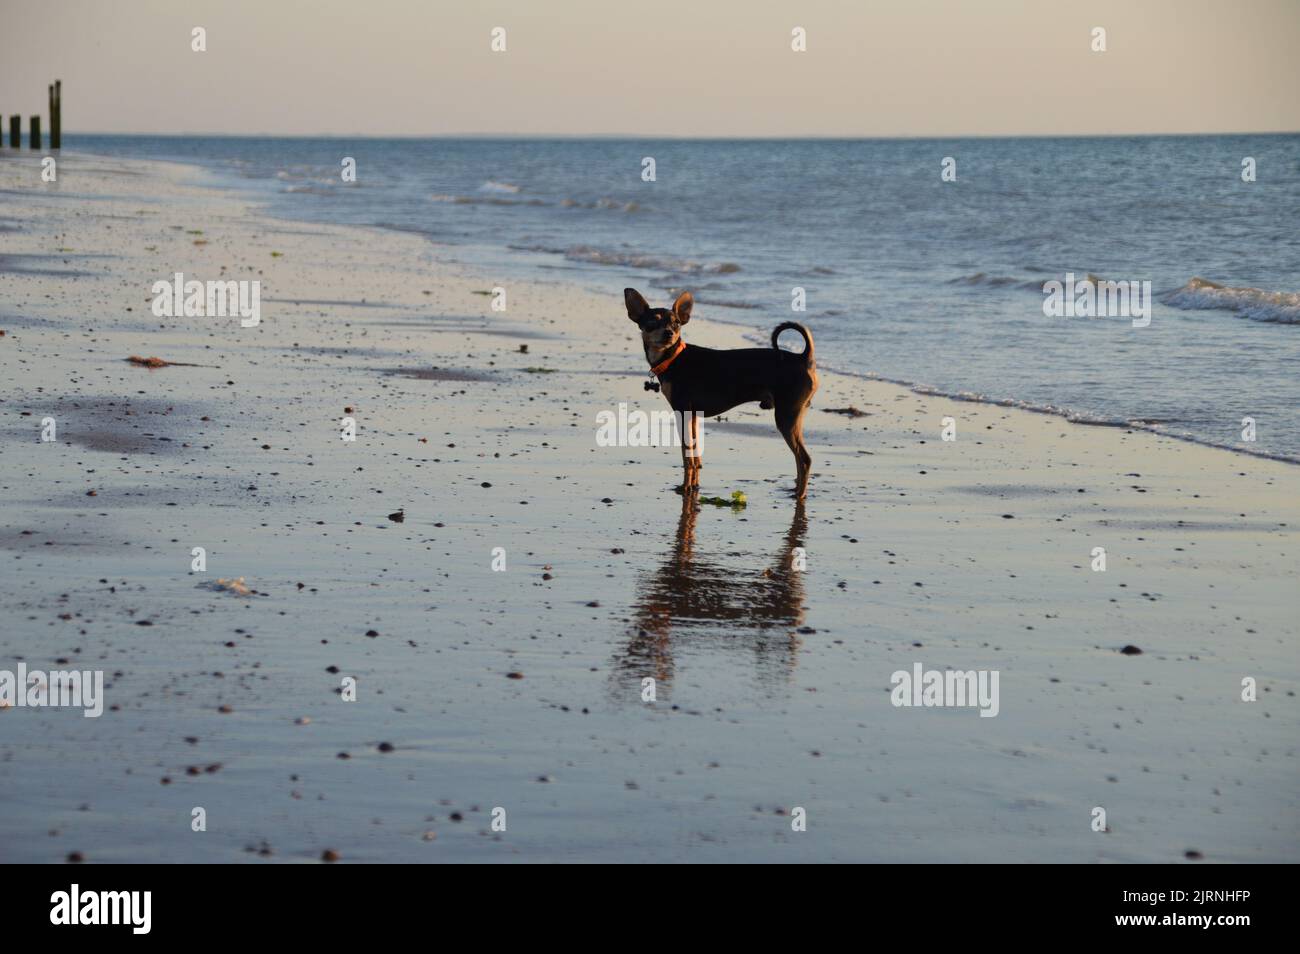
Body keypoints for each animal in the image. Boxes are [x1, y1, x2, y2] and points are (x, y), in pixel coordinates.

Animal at [624, 287, 816, 501]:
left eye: (676, 323)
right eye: (652, 323)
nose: (669, 333)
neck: (673, 357)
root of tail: (803, 357)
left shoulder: (683, 412)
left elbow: (686, 456)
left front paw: (686, 487)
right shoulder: (692, 416)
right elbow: (695, 455)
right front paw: (694, 484)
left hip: (786, 416)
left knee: (804, 459)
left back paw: (800, 494)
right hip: (794, 416)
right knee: (799, 459)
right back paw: (795, 491)